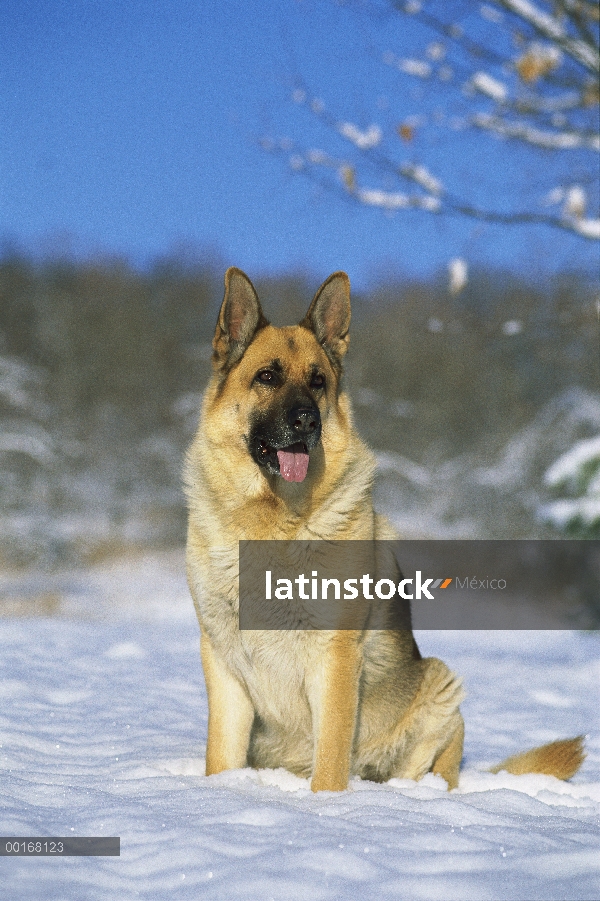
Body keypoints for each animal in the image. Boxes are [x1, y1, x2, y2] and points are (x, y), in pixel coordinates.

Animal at [185, 266, 584, 788]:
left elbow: (330, 762)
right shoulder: (224, 664)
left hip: (439, 685)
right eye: (267, 376)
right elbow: (220, 759)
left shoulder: (334, 658)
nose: (307, 421)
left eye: (318, 382)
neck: (273, 519)